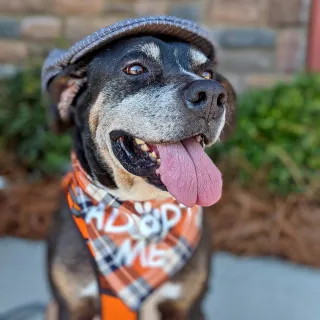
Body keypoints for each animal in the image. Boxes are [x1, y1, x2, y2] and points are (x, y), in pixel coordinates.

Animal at [44, 21, 235, 318]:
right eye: (135, 69)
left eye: (207, 73)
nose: (213, 94)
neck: (141, 210)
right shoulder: (72, 305)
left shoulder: (186, 307)